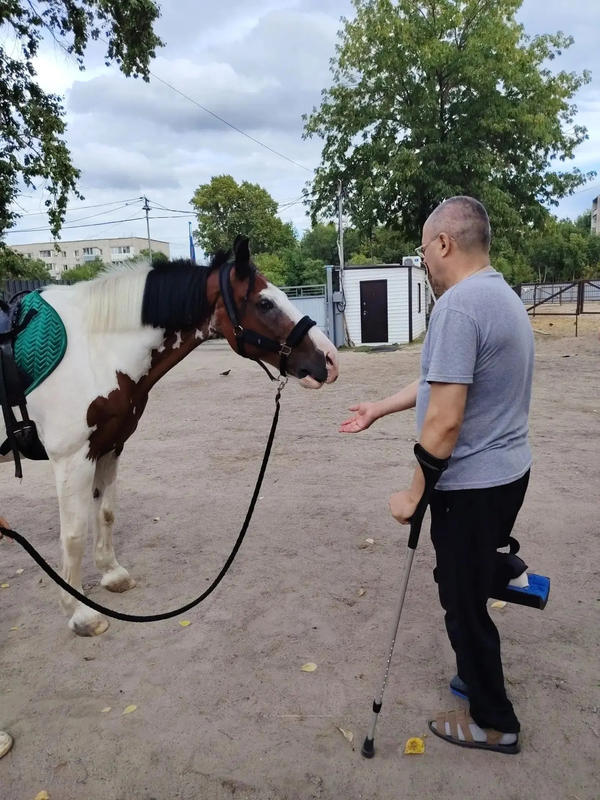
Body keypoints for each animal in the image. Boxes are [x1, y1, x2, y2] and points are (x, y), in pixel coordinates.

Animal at [2, 235, 339, 636]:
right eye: (264, 303)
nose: (330, 359)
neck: (93, 349)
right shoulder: (72, 459)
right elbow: (73, 534)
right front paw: (80, 613)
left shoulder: (109, 447)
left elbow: (106, 513)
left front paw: (112, 575)